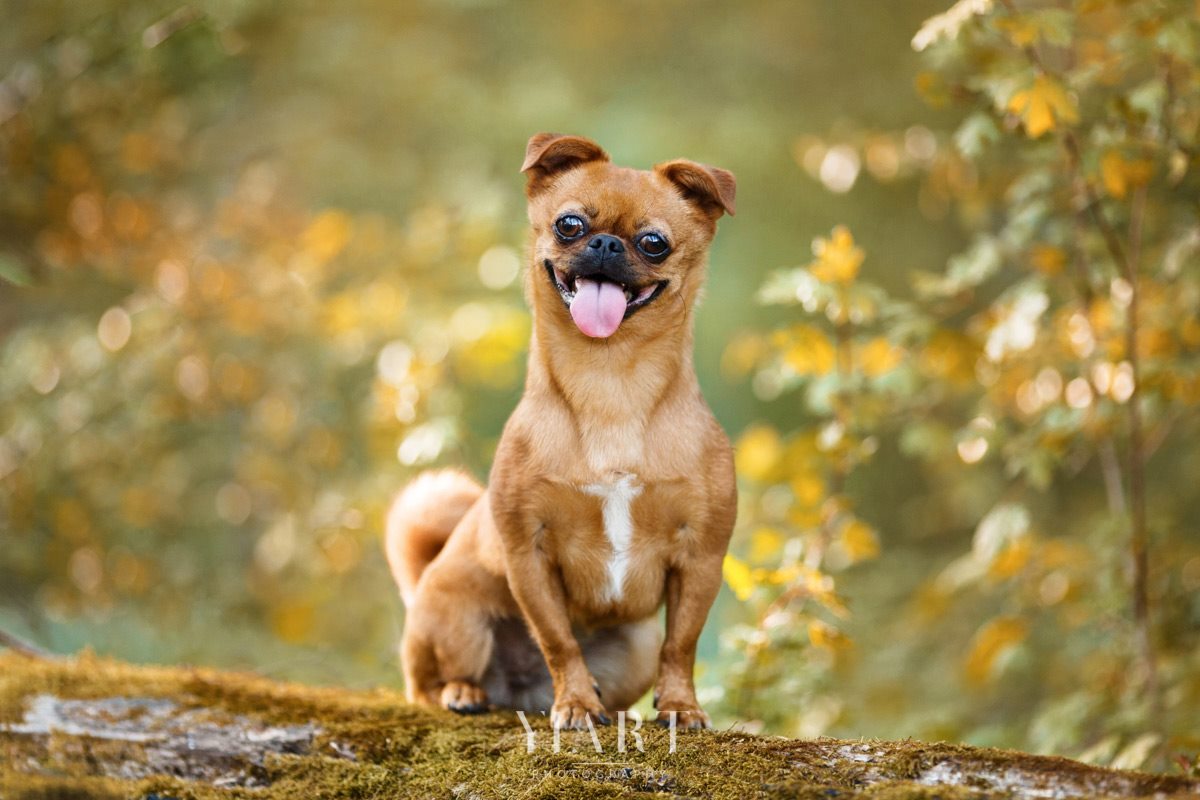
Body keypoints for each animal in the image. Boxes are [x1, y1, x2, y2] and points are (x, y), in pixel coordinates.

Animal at [388, 133, 734, 734]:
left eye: (654, 243)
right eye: (568, 225)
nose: (605, 244)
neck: (610, 381)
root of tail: (519, 690)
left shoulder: (701, 559)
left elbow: (681, 646)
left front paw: (680, 707)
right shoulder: (529, 555)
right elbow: (558, 641)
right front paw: (573, 704)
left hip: (633, 648)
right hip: (455, 616)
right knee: (426, 685)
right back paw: (463, 692)